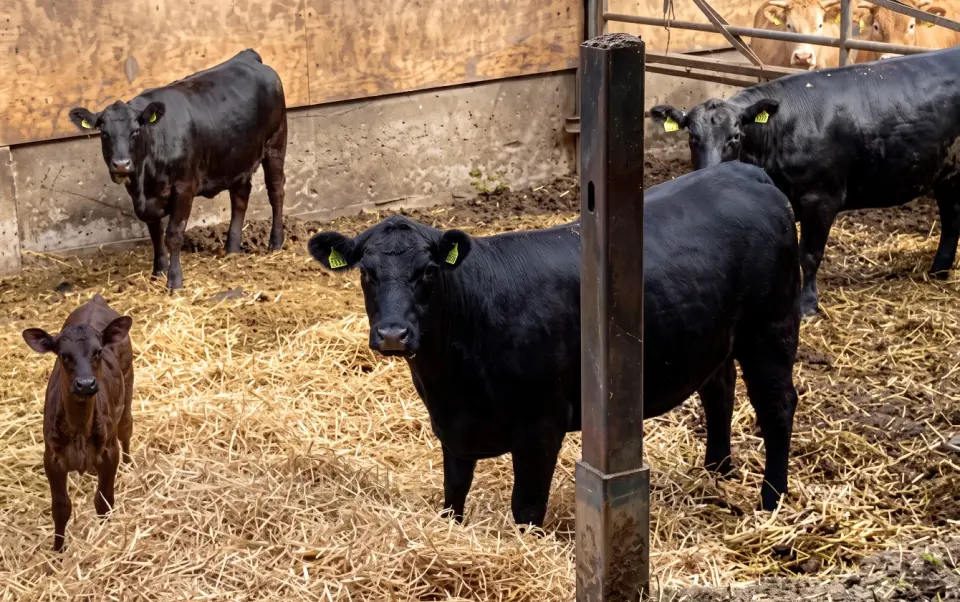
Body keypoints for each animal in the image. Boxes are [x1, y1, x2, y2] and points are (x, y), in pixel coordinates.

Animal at [22, 294, 134, 552]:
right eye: (63, 355)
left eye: (98, 351)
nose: (85, 384)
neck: (80, 430)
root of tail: (96, 300)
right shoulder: (52, 458)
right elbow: (61, 507)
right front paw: (58, 550)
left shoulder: (109, 452)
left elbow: (104, 501)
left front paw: (103, 536)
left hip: (128, 388)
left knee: (126, 428)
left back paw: (130, 464)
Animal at [67, 49, 288, 290]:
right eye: (104, 133)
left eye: (136, 131)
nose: (121, 164)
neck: (146, 180)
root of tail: (247, 56)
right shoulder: (144, 199)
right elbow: (156, 233)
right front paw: (158, 271)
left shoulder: (184, 187)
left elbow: (173, 234)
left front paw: (174, 279)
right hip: (237, 158)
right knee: (240, 197)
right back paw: (232, 249)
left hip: (276, 143)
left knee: (275, 191)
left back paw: (276, 242)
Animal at [307, 162, 801, 526]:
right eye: (366, 272)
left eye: (428, 271)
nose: (393, 334)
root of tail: (744, 171)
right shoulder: (452, 428)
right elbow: (453, 494)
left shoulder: (541, 424)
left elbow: (526, 507)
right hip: (717, 336)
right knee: (719, 388)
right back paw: (717, 470)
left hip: (771, 329)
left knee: (776, 405)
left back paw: (772, 499)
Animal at [649, 45, 960, 318]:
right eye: (692, 137)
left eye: (735, 137)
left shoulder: (821, 198)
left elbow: (809, 254)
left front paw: (807, 304)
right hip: (947, 173)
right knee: (951, 220)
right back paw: (938, 272)